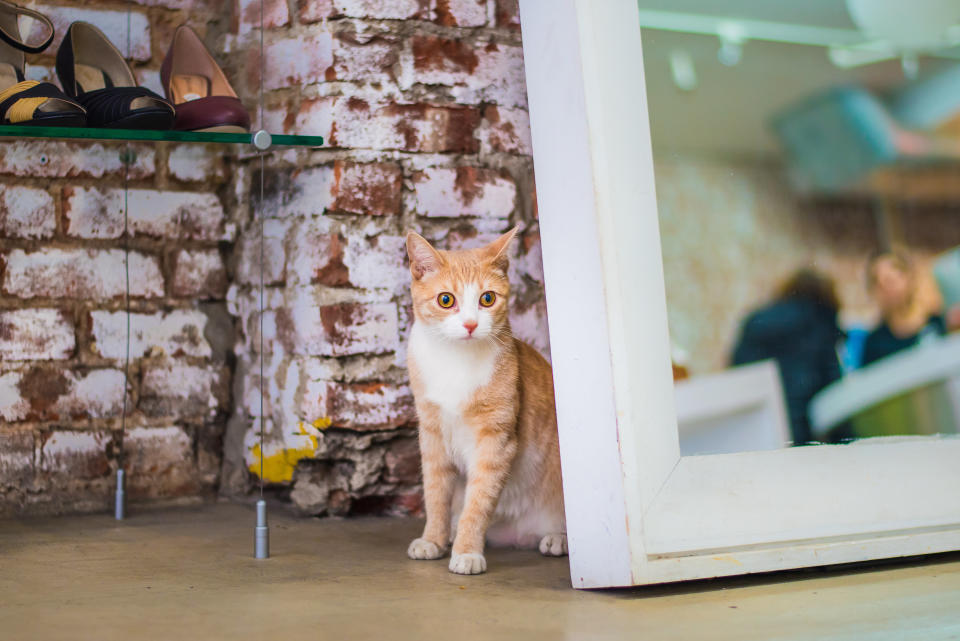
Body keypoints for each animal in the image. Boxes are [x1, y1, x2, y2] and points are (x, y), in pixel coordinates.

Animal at [404, 226, 564, 576]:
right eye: (446, 300)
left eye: (487, 298)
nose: (470, 324)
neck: (455, 360)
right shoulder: (432, 433)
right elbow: (435, 493)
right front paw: (434, 539)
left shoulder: (495, 440)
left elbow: (477, 501)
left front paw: (466, 551)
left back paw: (559, 537)